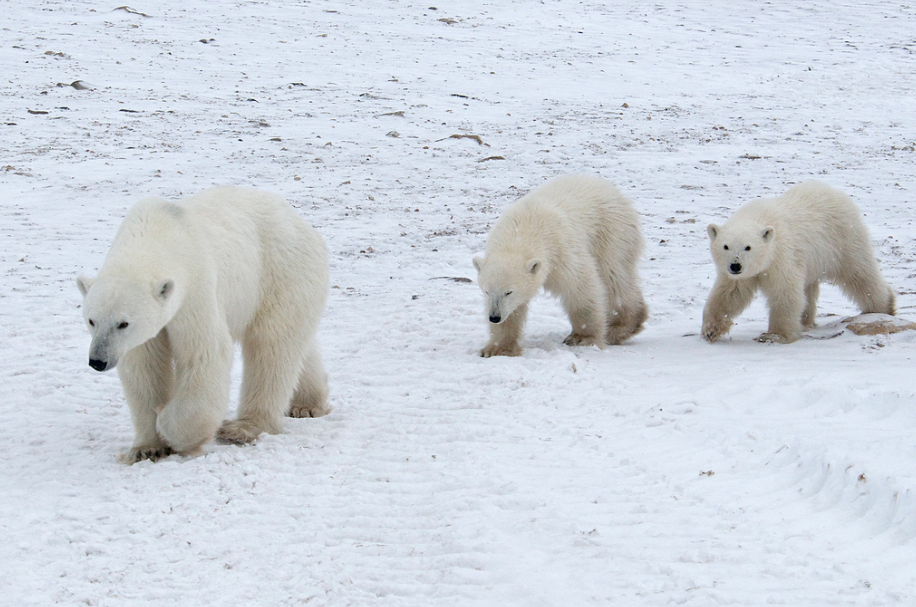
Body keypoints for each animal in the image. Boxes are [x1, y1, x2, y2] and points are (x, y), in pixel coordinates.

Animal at [77, 188, 330, 464]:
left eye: (123, 323)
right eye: (91, 320)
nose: (98, 361)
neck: (158, 233)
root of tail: (300, 222)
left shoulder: (195, 287)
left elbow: (204, 354)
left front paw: (169, 427)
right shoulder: (146, 332)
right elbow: (144, 368)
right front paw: (147, 447)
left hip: (279, 272)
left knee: (271, 346)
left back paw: (243, 427)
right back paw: (307, 403)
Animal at [476, 175, 648, 356]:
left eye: (508, 292)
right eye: (486, 291)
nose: (494, 317)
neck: (521, 231)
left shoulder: (561, 251)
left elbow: (580, 287)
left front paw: (582, 338)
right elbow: (513, 311)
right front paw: (497, 348)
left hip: (611, 232)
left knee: (613, 276)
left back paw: (620, 327)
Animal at [700, 180, 896, 344]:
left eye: (748, 247)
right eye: (726, 246)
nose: (735, 265)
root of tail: (836, 192)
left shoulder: (782, 256)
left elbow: (784, 293)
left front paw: (776, 335)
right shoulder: (741, 275)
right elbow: (730, 294)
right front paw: (711, 330)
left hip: (843, 241)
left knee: (860, 274)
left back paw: (884, 307)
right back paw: (805, 321)